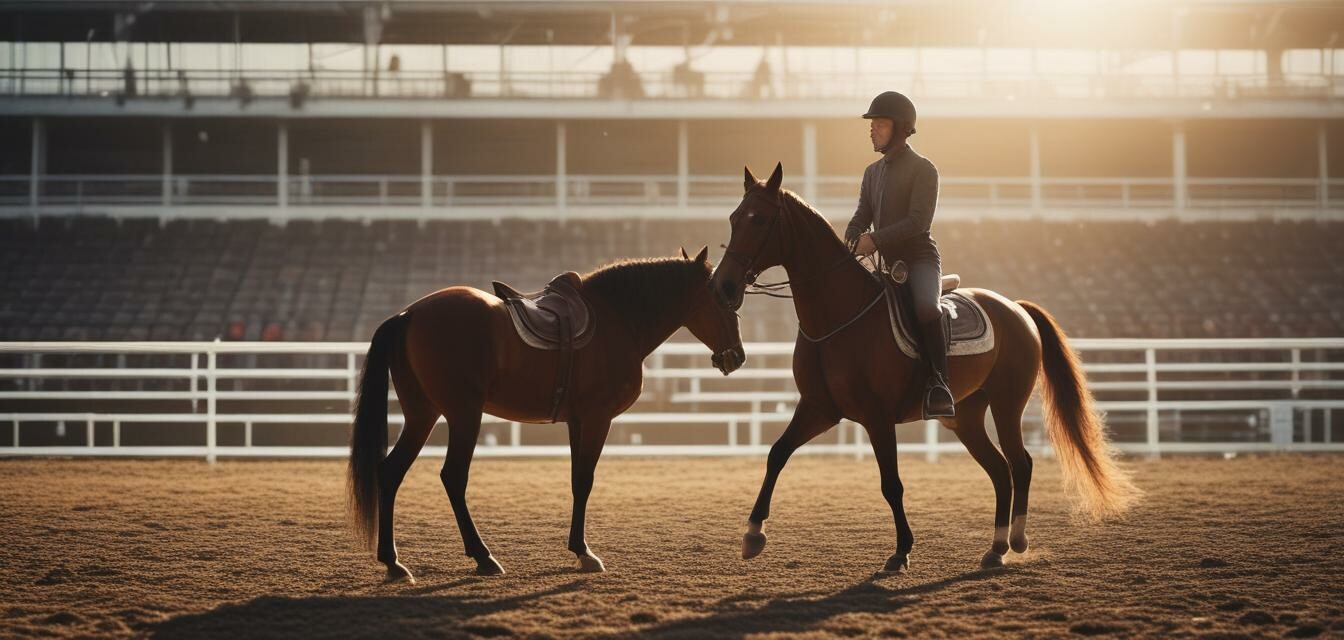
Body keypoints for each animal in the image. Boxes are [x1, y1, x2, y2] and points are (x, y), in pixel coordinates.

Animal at [346, 246, 747, 580]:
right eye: (721, 298)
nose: (737, 356)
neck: (616, 319)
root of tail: (409, 314)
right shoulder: (598, 418)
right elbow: (585, 480)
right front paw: (584, 553)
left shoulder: (577, 421)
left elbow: (575, 480)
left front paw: (578, 549)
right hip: (464, 414)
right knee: (453, 477)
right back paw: (482, 557)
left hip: (422, 415)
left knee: (390, 472)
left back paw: (394, 563)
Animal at [709, 164, 1139, 570]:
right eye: (733, 217)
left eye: (759, 219)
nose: (723, 287)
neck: (840, 316)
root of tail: (1016, 308)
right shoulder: (820, 408)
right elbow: (777, 454)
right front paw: (752, 534)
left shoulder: (877, 417)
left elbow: (891, 484)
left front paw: (901, 551)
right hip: (965, 417)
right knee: (1000, 470)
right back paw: (996, 548)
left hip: (1007, 405)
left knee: (1020, 464)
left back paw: (1016, 541)